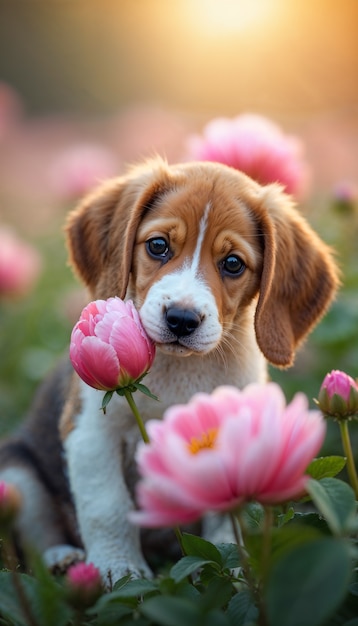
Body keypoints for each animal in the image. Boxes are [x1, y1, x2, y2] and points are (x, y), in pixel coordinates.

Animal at [0, 158, 338, 584]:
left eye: (233, 264)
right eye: (158, 246)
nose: (181, 319)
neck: (180, 370)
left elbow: (228, 519)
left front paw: (237, 571)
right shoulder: (91, 433)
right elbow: (107, 507)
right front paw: (119, 571)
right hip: (17, 476)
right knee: (33, 545)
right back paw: (66, 561)